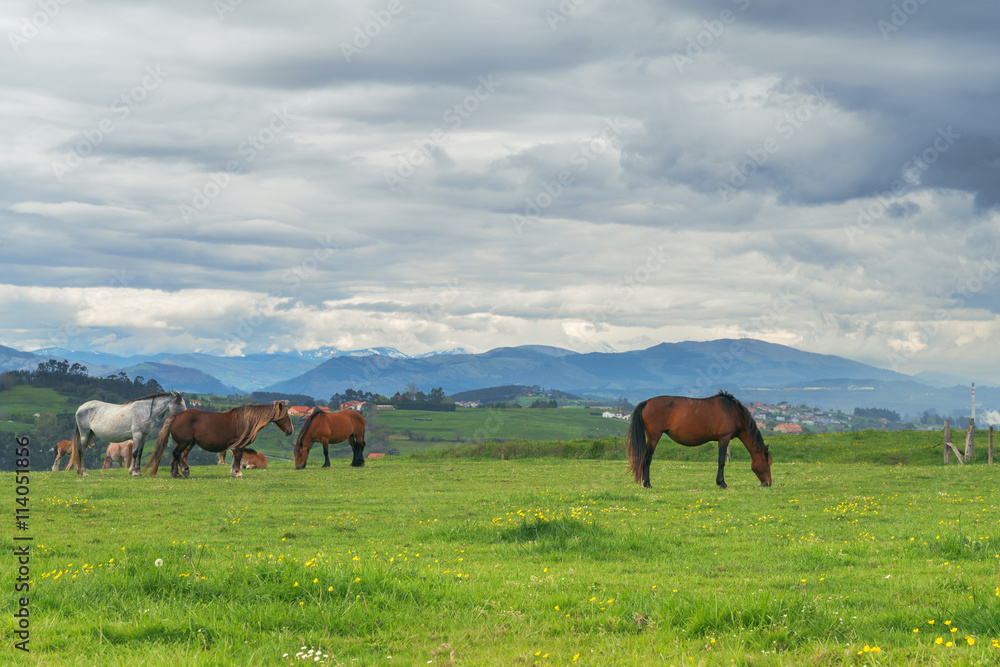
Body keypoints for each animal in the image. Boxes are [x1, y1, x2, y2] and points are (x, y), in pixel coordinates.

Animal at [145, 402, 292, 480]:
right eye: (285, 416)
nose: (290, 431)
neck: (246, 420)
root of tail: (176, 416)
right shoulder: (240, 446)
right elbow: (238, 459)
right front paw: (238, 473)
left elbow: (235, 459)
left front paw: (234, 472)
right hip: (184, 443)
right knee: (176, 454)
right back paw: (184, 470)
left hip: (187, 443)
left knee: (176, 456)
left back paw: (175, 473)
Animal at [624, 392, 772, 490]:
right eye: (767, 462)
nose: (768, 483)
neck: (734, 412)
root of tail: (647, 402)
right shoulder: (723, 438)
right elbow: (721, 461)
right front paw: (722, 483)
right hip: (654, 437)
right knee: (647, 459)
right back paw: (647, 484)